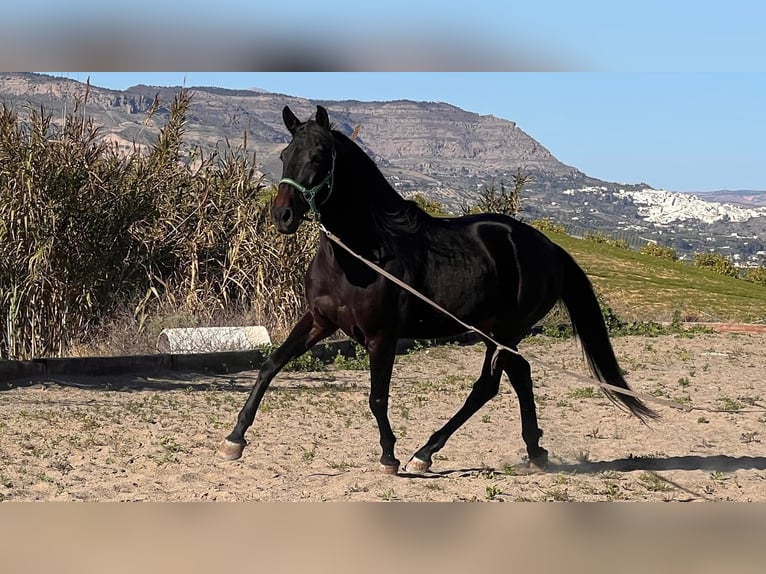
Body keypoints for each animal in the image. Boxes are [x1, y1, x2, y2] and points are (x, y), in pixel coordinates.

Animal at [218, 106, 660, 474]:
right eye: (284, 155)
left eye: (318, 156)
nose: (282, 216)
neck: (360, 256)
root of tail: (549, 247)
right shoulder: (319, 320)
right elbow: (270, 365)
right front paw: (234, 440)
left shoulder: (382, 336)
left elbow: (377, 397)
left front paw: (389, 456)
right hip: (500, 333)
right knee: (520, 376)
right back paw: (533, 452)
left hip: (502, 331)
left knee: (488, 386)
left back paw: (424, 453)